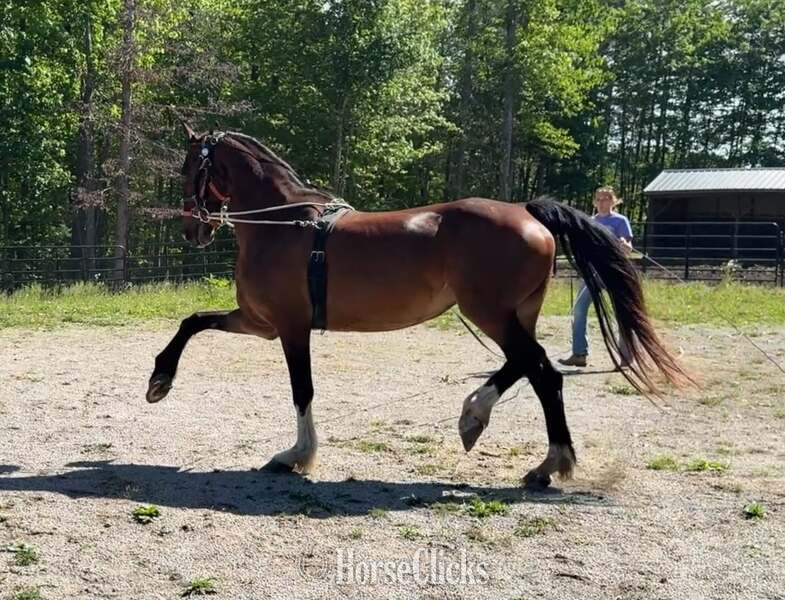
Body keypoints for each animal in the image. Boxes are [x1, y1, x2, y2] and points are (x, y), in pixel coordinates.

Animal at [146, 123, 690, 488]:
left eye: (190, 167)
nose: (191, 229)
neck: (283, 223)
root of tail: (528, 212)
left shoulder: (290, 327)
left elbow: (302, 390)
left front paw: (296, 455)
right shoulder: (260, 322)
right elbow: (193, 321)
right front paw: (160, 381)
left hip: (489, 313)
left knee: (539, 371)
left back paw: (526, 446)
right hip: (513, 314)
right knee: (532, 369)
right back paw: (506, 436)